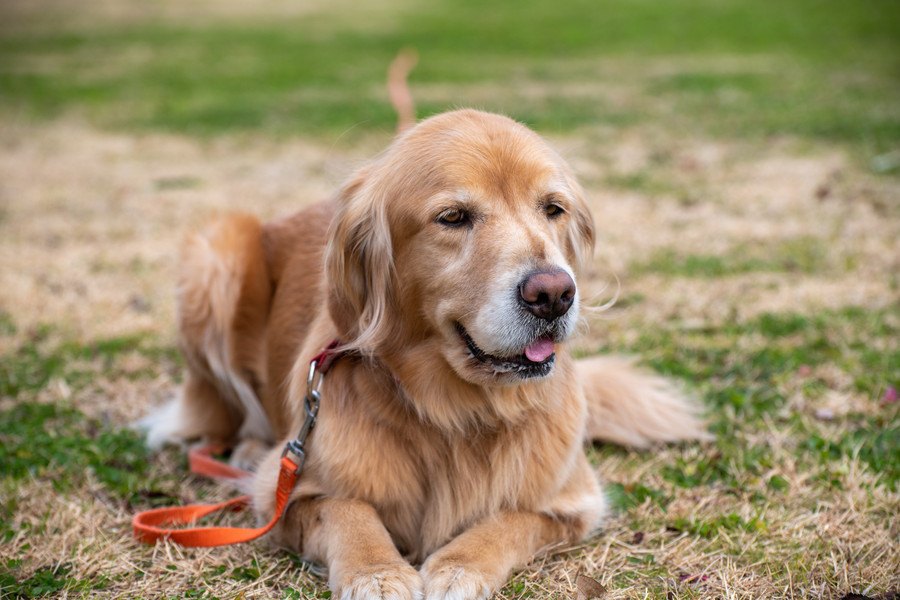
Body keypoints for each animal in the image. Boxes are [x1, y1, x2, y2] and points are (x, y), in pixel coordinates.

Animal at [141, 109, 708, 600]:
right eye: (453, 217)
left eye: (553, 208)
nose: (554, 293)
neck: (454, 413)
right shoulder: (286, 494)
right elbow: (348, 513)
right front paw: (376, 573)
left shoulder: (574, 501)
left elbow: (510, 520)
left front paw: (459, 566)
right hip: (217, 254)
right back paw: (246, 446)